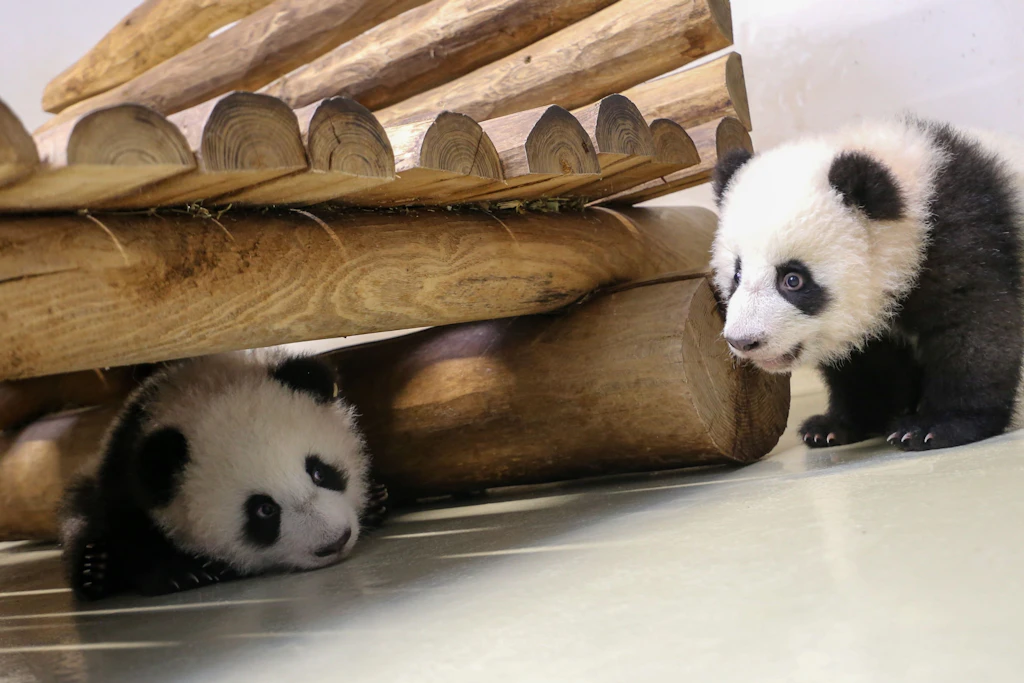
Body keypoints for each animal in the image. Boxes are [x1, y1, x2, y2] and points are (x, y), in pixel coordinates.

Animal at [59, 351, 388, 601]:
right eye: (264, 509)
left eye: (319, 472)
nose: (335, 541)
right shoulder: (126, 480)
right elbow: (130, 531)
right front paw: (181, 573)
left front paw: (376, 499)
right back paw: (95, 566)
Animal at [710, 115, 1024, 452]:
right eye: (736, 276)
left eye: (792, 279)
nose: (744, 341)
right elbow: (866, 363)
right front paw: (834, 427)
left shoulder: (966, 234)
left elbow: (974, 327)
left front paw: (934, 425)